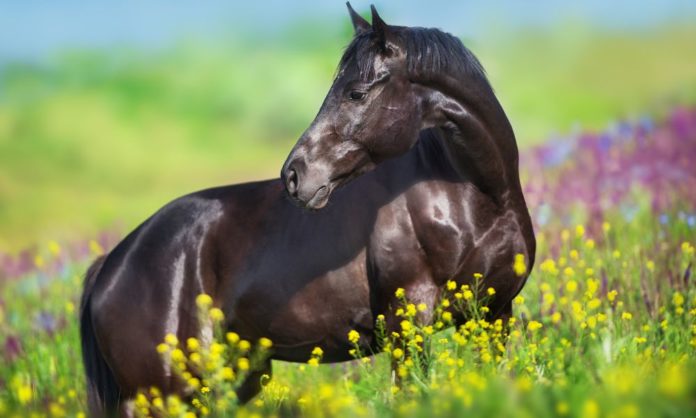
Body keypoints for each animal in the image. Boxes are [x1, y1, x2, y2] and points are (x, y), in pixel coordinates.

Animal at [80, 4, 535, 416]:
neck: (477, 200)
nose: (295, 174)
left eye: (356, 92)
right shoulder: (410, 325)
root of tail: (115, 262)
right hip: (160, 394)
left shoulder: (495, 316)